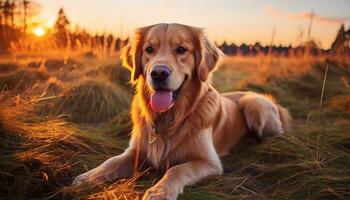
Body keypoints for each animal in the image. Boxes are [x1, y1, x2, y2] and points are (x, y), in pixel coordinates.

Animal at [72, 23, 292, 198]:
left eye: (181, 49)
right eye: (149, 49)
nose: (158, 73)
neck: (170, 117)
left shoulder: (209, 162)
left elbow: (176, 170)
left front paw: (160, 191)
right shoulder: (135, 151)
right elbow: (111, 162)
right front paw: (86, 177)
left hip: (254, 104)